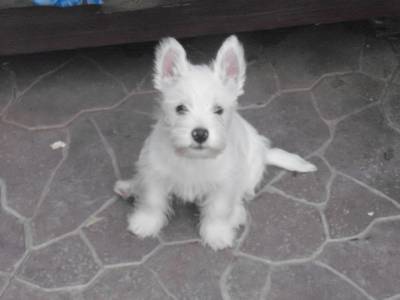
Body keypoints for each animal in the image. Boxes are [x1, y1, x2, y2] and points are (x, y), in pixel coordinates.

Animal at [114, 35, 318, 251]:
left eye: (218, 110)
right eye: (180, 108)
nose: (200, 134)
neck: (193, 158)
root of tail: (265, 153)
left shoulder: (223, 184)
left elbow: (218, 211)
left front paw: (217, 234)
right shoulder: (155, 173)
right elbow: (152, 201)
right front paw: (145, 224)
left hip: (249, 174)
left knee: (240, 196)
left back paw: (236, 214)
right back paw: (130, 187)